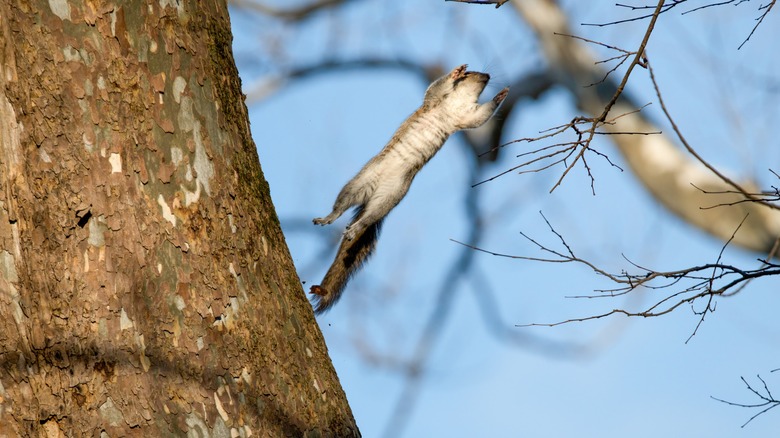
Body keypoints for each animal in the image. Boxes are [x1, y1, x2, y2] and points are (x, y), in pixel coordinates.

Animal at [310, 65, 509, 314]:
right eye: (472, 73)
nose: (488, 76)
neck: (462, 98)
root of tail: (374, 191)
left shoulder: (467, 116)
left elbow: (481, 116)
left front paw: (500, 96)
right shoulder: (434, 101)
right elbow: (436, 87)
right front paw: (455, 73)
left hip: (391, 195)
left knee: (368, 217)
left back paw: (355, 229)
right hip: (359, 182)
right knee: (341, 206)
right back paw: (328, 217)